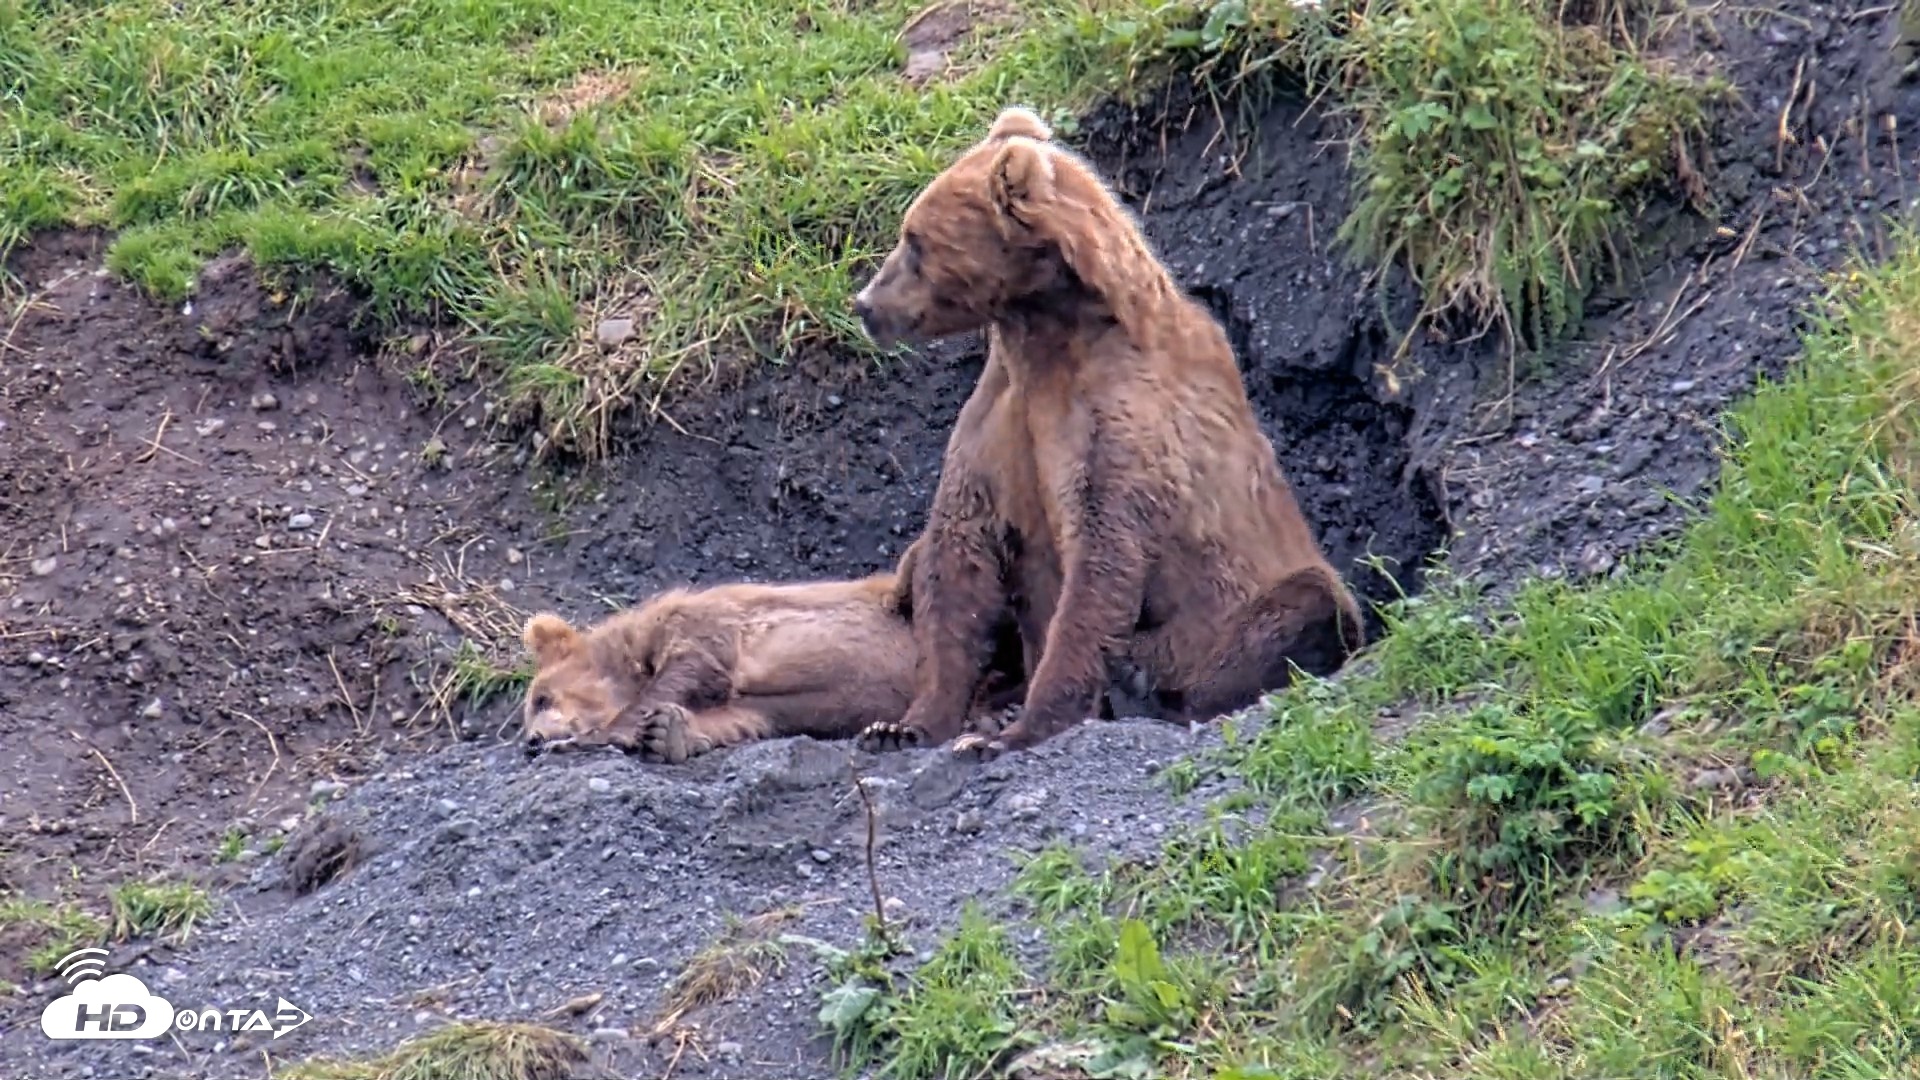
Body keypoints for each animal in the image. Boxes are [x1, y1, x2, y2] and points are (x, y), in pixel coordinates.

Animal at [519, 571, 1025, 763]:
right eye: (530, 709)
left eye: (540, 697)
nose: (530, 740)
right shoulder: (755, 708)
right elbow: (732, 720)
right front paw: (669, 734)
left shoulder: (706, 626)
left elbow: (692, 669)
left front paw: (592, 737)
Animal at [850, 105, 1368, 760]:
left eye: (915, 241)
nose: (865, 303)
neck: (1048, 332)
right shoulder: (1002, 423)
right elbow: (958, 559)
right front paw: (903, 725)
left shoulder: (1120, 423)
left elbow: (1101, 564)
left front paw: (1014, 731)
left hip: (1248, 602)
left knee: (1309, 604)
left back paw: (1139, 690)